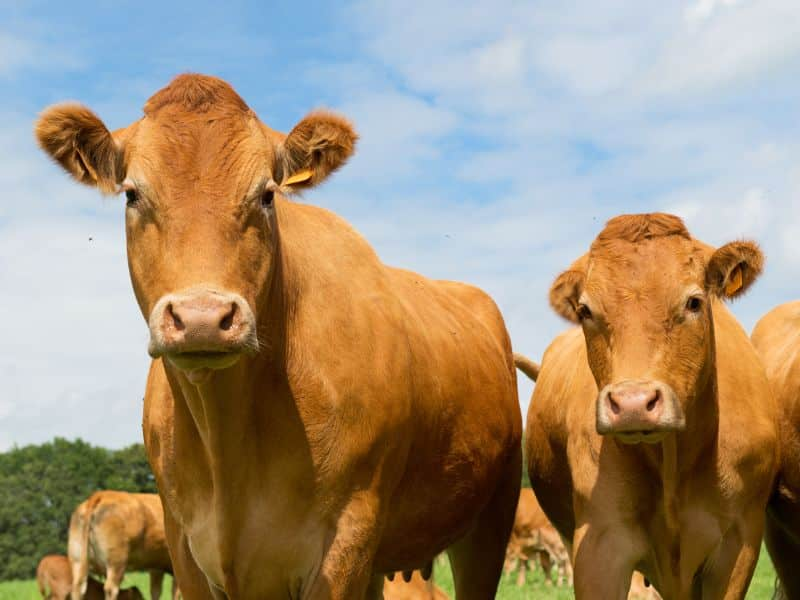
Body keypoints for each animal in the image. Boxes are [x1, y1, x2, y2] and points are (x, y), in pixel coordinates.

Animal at [37, 72, 520, 596]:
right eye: (131, 194)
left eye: (267, 195)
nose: (203, 317)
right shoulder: (184, 545)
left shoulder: (346, 541)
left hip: (490, 520)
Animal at [520, 213, 780, 596]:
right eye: (585, 310)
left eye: (694, 302)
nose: (633, 404)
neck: (673, 460)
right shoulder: (599, 542)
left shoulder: (740, 541)